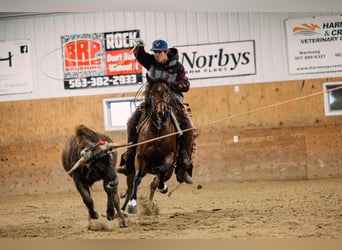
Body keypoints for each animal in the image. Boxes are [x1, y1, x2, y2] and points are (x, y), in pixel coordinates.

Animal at [120, 75, 179, 214]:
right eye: (152, 94)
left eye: (167, 92)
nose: (162, 113)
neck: (158, 131)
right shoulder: (139, 157)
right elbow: (137, 179)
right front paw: (132, 205)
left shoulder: (170, 156)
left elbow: (161, 171)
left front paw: (163, 187)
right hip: (131, 168)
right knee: (130, 186)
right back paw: (124, 207)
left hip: (169, 171)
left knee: (155, 182)